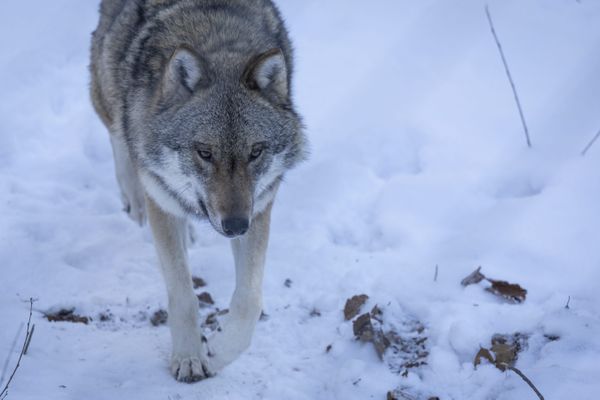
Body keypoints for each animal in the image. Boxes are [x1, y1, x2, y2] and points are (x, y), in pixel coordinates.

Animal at [89, 0, 310, 382]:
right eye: (204, 152)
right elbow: (183, 296)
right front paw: (190, 356)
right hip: (105, 84)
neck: (213, 40)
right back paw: (134, 199)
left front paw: (221, 352)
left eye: (255, 151)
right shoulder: (163, 202)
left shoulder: (259, 208)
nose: (235, 226)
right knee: (118, 132)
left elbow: (249, 299)